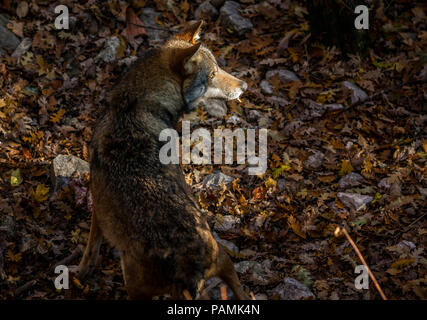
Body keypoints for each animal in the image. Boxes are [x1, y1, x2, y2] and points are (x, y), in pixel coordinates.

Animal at [77, 20, 251, 300]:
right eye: (213, 74)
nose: (244, 86)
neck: (135, 104)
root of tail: (189, 267)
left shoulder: (98, 206)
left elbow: (91, 247)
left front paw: (80, 272)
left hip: (134, 286)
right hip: (225, 260)